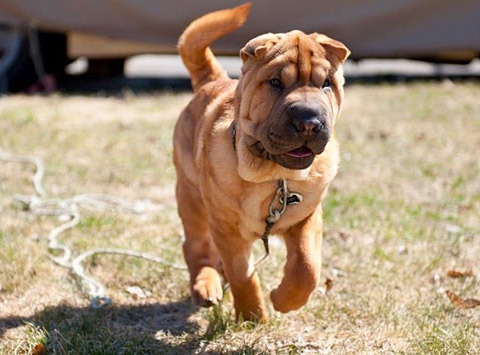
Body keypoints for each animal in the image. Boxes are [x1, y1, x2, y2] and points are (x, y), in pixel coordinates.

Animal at [172, 2, 348, 322]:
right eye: (276, 83)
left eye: (327, 84)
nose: (309, 122)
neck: (273, 176)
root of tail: (213, 80)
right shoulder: (227, 227)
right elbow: (243, 273)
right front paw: (252, 315)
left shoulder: (306, 217)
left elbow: (307, 267)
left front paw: (284, 300)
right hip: (191, 196)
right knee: (196, 247)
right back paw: (206, 285)